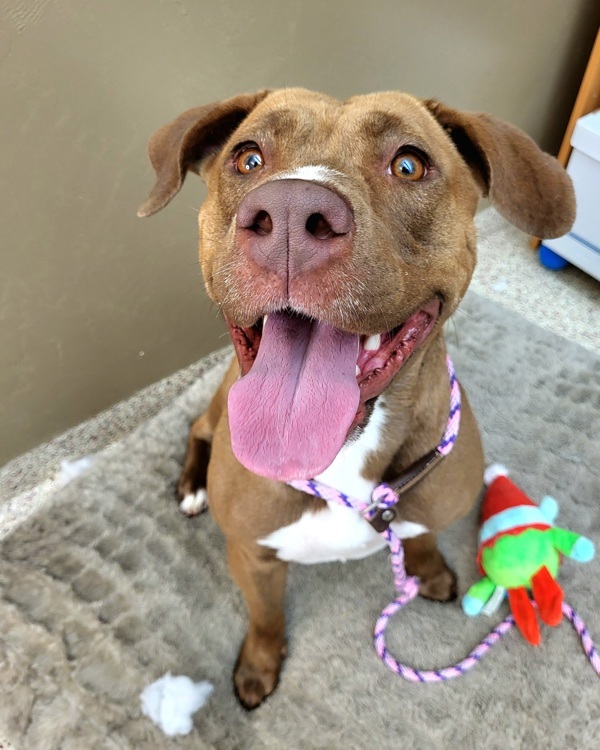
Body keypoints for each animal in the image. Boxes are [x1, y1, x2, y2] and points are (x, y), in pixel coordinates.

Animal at [138, 88, 576, 712]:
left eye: (409, 164)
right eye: (248, 158)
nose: (291, 213)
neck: (343, 459)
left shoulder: (428, 506)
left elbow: (423, 535)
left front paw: (428, 569)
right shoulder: (251, 556)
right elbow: (266, 618)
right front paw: (258, 668)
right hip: (222, 401)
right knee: (200, 426)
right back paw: (192, 485)